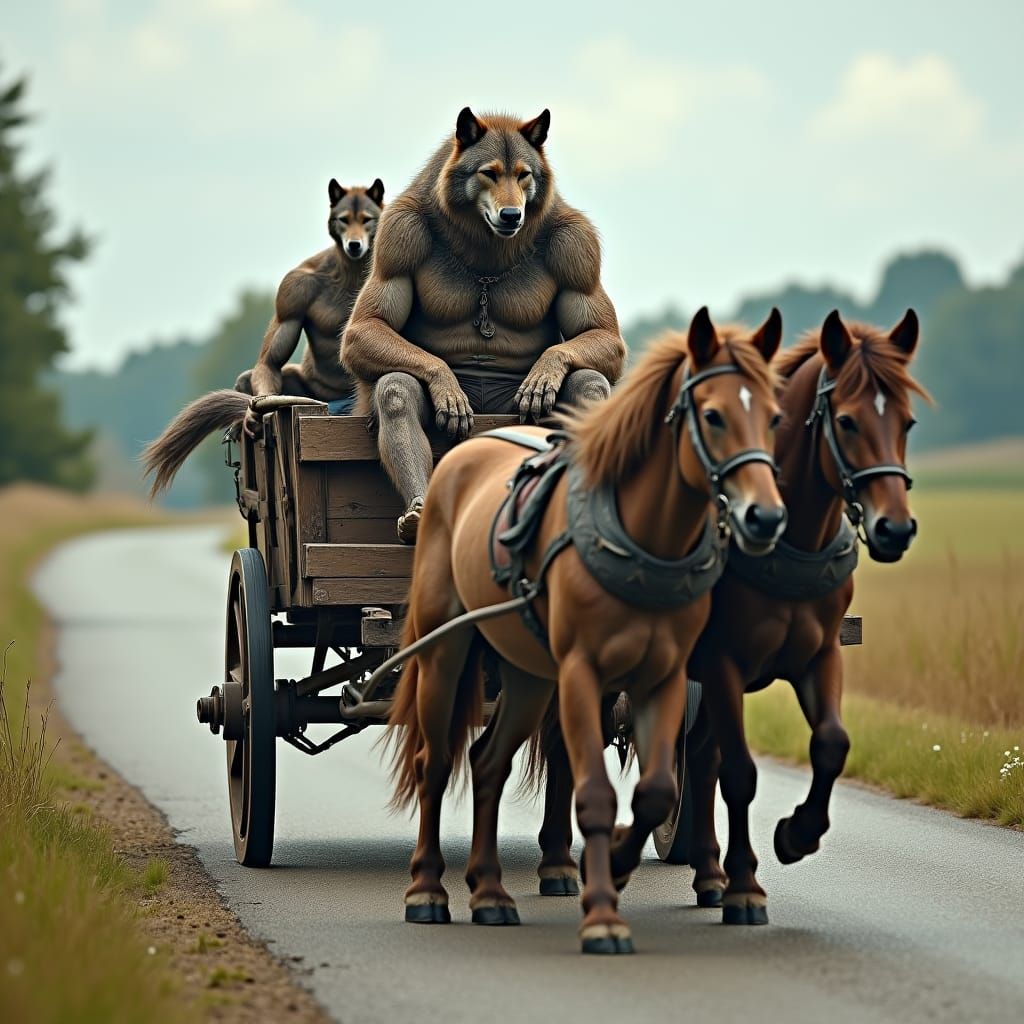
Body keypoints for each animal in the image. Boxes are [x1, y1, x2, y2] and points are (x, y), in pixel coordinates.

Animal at [386, 306, 788, 954]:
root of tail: (464, 453)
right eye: (713, 414)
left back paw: (490, 894)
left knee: (487, 762)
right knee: (435, 762)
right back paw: (427, 891)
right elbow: (593, 791)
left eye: (775, 415)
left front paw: (616, 868)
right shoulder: (580, 674)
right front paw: (601, 916)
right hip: (445, 650)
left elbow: (657, 789)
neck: (643, 540)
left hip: (526, 674)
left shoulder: (663, 679)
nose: (765, 516)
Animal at [683, 308, 928, 922]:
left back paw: (708, 870)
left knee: (700, 755)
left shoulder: (818, 657)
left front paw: (796, 835)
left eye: (908, 422)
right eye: (845, 422)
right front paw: (747, 885)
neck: (787, 538)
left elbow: (832, 743)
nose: (895, 529)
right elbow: (739, 773)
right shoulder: (721, 663)